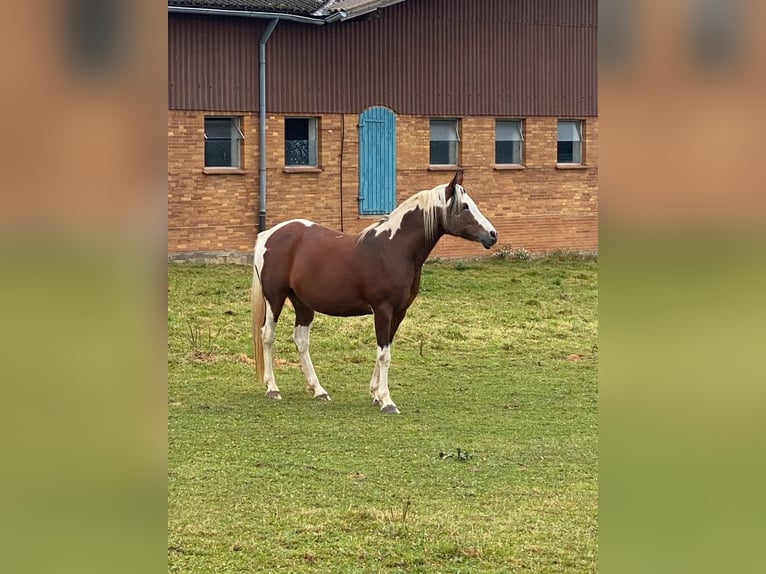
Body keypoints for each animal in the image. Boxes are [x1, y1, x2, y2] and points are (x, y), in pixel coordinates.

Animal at [252, 171, 498, 414]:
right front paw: (387, 401)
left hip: (303, 303)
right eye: (464, 206)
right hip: (275, 299)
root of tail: (269, 234)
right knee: (267, 336)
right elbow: (383, 355)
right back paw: (272, 388)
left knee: (301, 341)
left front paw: (376, 394)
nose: (492, 235)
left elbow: (385, 350)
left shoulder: (398, 313)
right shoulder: (382, 311)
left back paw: (319, 390)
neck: (394, 248)